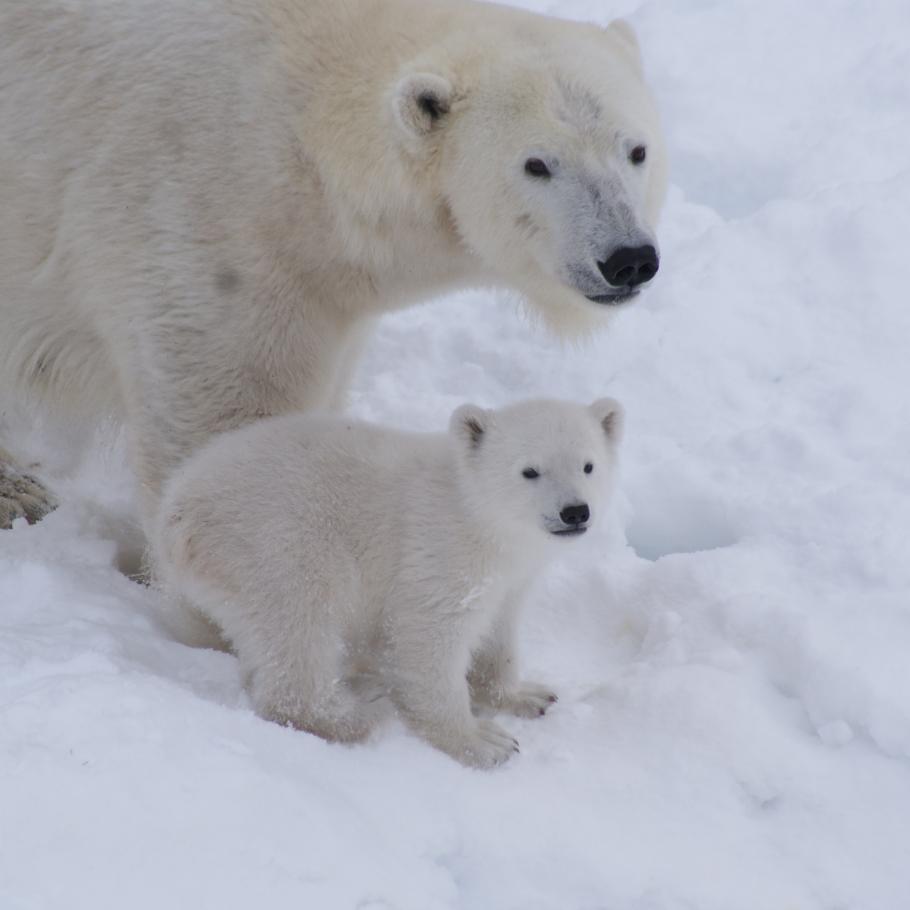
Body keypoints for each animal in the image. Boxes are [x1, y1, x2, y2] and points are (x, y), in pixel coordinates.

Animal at [0, 0, 668, 532]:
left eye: (636, 149)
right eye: (537, 164)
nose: (628, 259)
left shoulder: (324, 290)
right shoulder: (200, 230)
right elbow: (225, 426)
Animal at [155, 400, 628, 768]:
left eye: (588, 465)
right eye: (530, 471)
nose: (574, 512)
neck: (477, 512)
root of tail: (178, 512)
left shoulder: (509, 573)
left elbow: (498, 628)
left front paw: (527, 695)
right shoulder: (437, 548)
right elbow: (430, 635)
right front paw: (484, 742)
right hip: (277, 541)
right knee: (300, 627)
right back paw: (354, 717)